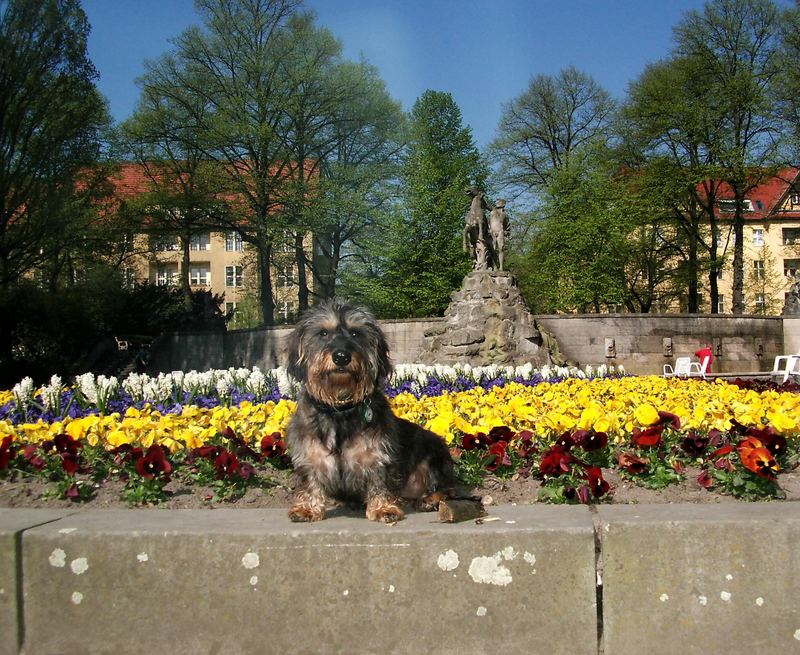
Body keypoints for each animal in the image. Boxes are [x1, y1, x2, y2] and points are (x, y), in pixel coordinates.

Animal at [284, 298, 454, 524]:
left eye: (356, 333)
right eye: (323, 333)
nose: (341, 356)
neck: (340, 410)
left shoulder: (378, 453)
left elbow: (378, 479)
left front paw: (383, 508)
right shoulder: (310, 454)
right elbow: (311, 481)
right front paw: (308, 508)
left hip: (434, 451)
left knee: (447, 489)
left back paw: (429, 500)